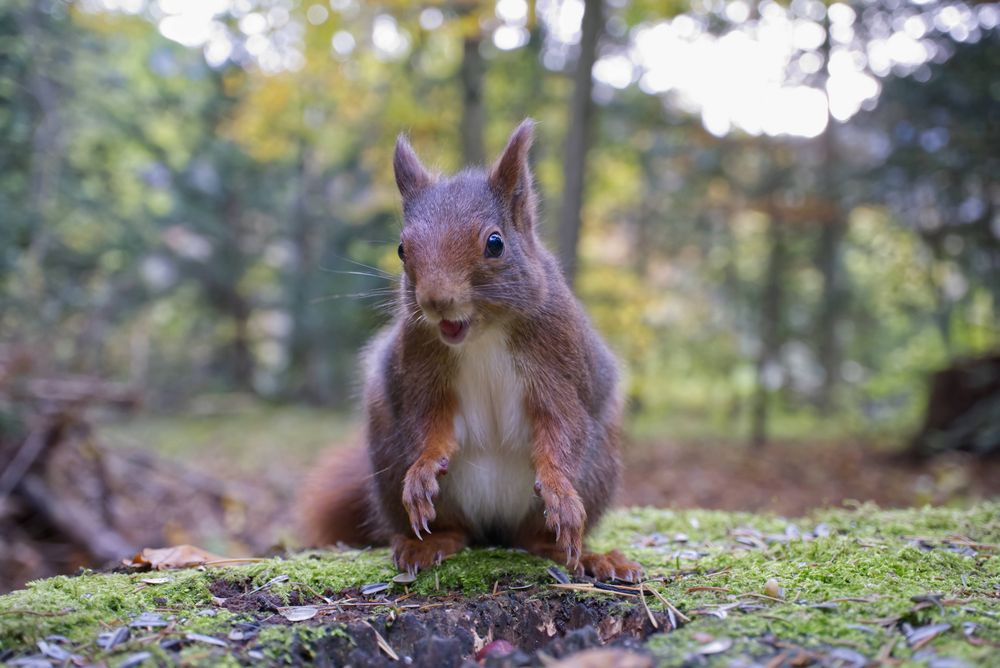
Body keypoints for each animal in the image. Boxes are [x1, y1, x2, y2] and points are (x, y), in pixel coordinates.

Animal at [299, 119, 642, 582]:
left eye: (495, 243)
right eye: (402, 249)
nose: (435, 300)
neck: (482, 335)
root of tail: (494, 528)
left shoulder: (560, 362)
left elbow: (564, 425)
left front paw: (559, 487)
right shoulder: (420, 365)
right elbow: (428, 422)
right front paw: (424, 468)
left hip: (598, 470)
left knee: (535, 538)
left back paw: (587, 555)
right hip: (394, 465)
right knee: (453, 529)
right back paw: (426, 543)